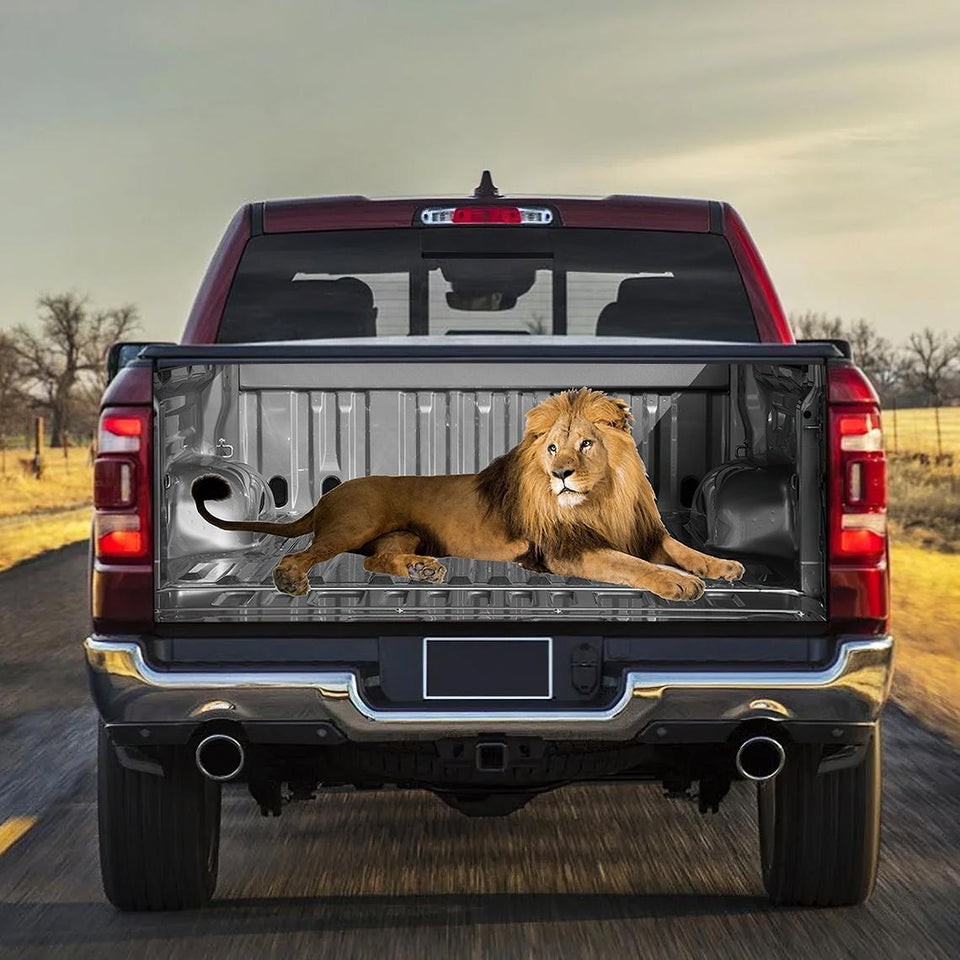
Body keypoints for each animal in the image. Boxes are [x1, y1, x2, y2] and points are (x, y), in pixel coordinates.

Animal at [191, 387, 744, 601]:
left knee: (375, 560)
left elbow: (680, 549)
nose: (561, 474)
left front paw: (721, 566)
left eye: (586, 443)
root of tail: (328, 496)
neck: (603, 498)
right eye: (551, 447)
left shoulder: (644, 531)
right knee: (305, 553)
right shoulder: (567, 551)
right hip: (355, 521)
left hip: (404, 534)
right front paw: (678, 584)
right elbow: (631, 565)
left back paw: (422, 571)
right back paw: (289, 579)